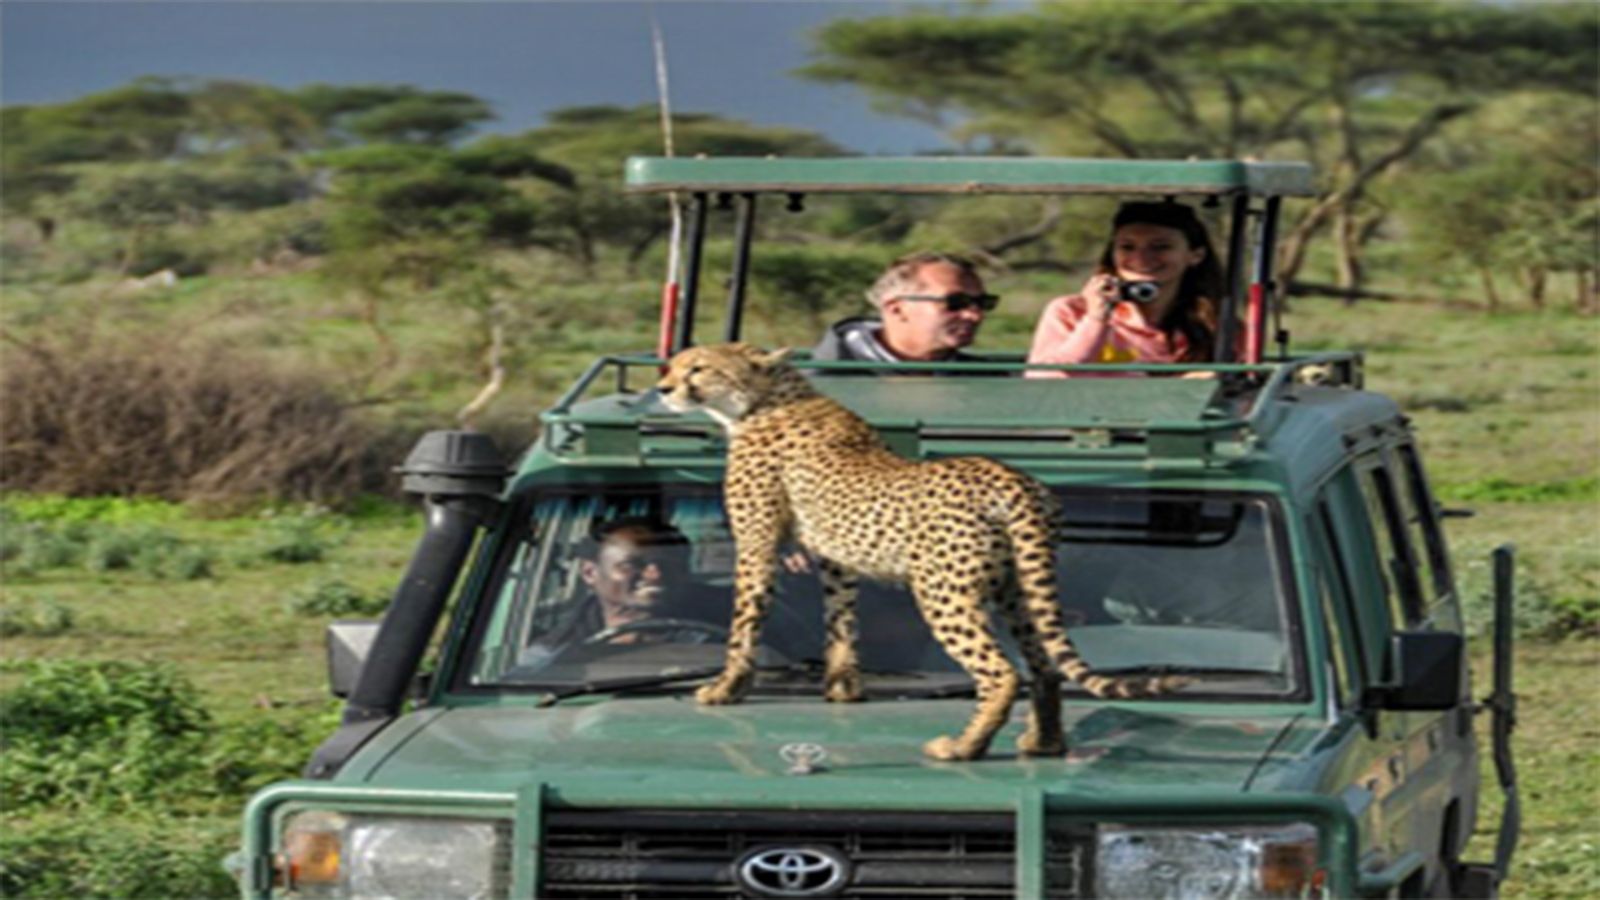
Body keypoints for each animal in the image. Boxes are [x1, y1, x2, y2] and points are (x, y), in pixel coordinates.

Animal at [652, 341, 1190, 755]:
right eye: (674, 364)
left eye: (696, 367)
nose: (662, 389)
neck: (770, 399)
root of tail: (1015, 480)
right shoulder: (836, 559)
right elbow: (841, 618)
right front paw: (843, 688)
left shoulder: (756, 543)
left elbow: (745, 619)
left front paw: (725, 688)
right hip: (1018, 589)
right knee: (1044, 667)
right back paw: (1045, 743)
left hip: (943, 592)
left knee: (1000, 672)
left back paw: (963, 748)